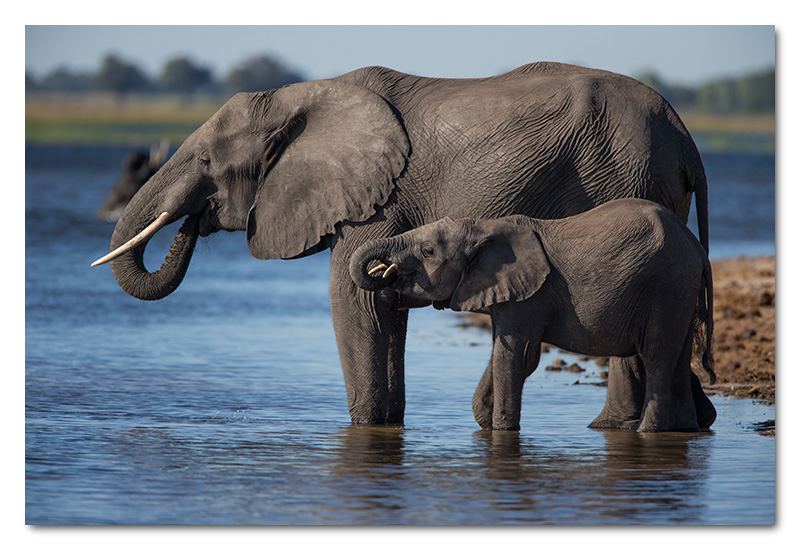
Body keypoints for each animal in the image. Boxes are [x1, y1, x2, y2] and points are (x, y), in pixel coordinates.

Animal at [350, 201, 712, 434]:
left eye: (427, 251)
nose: (386, 272)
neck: (481, 226)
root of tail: (698, 248)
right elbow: (509, 353)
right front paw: (487, 419)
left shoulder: (532, 295)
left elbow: (515, 355)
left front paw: (503, 430)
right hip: (680, 291)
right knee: (678, 358)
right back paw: (685, 429)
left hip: (667, 285)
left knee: (657, 355)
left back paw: (647, 432)